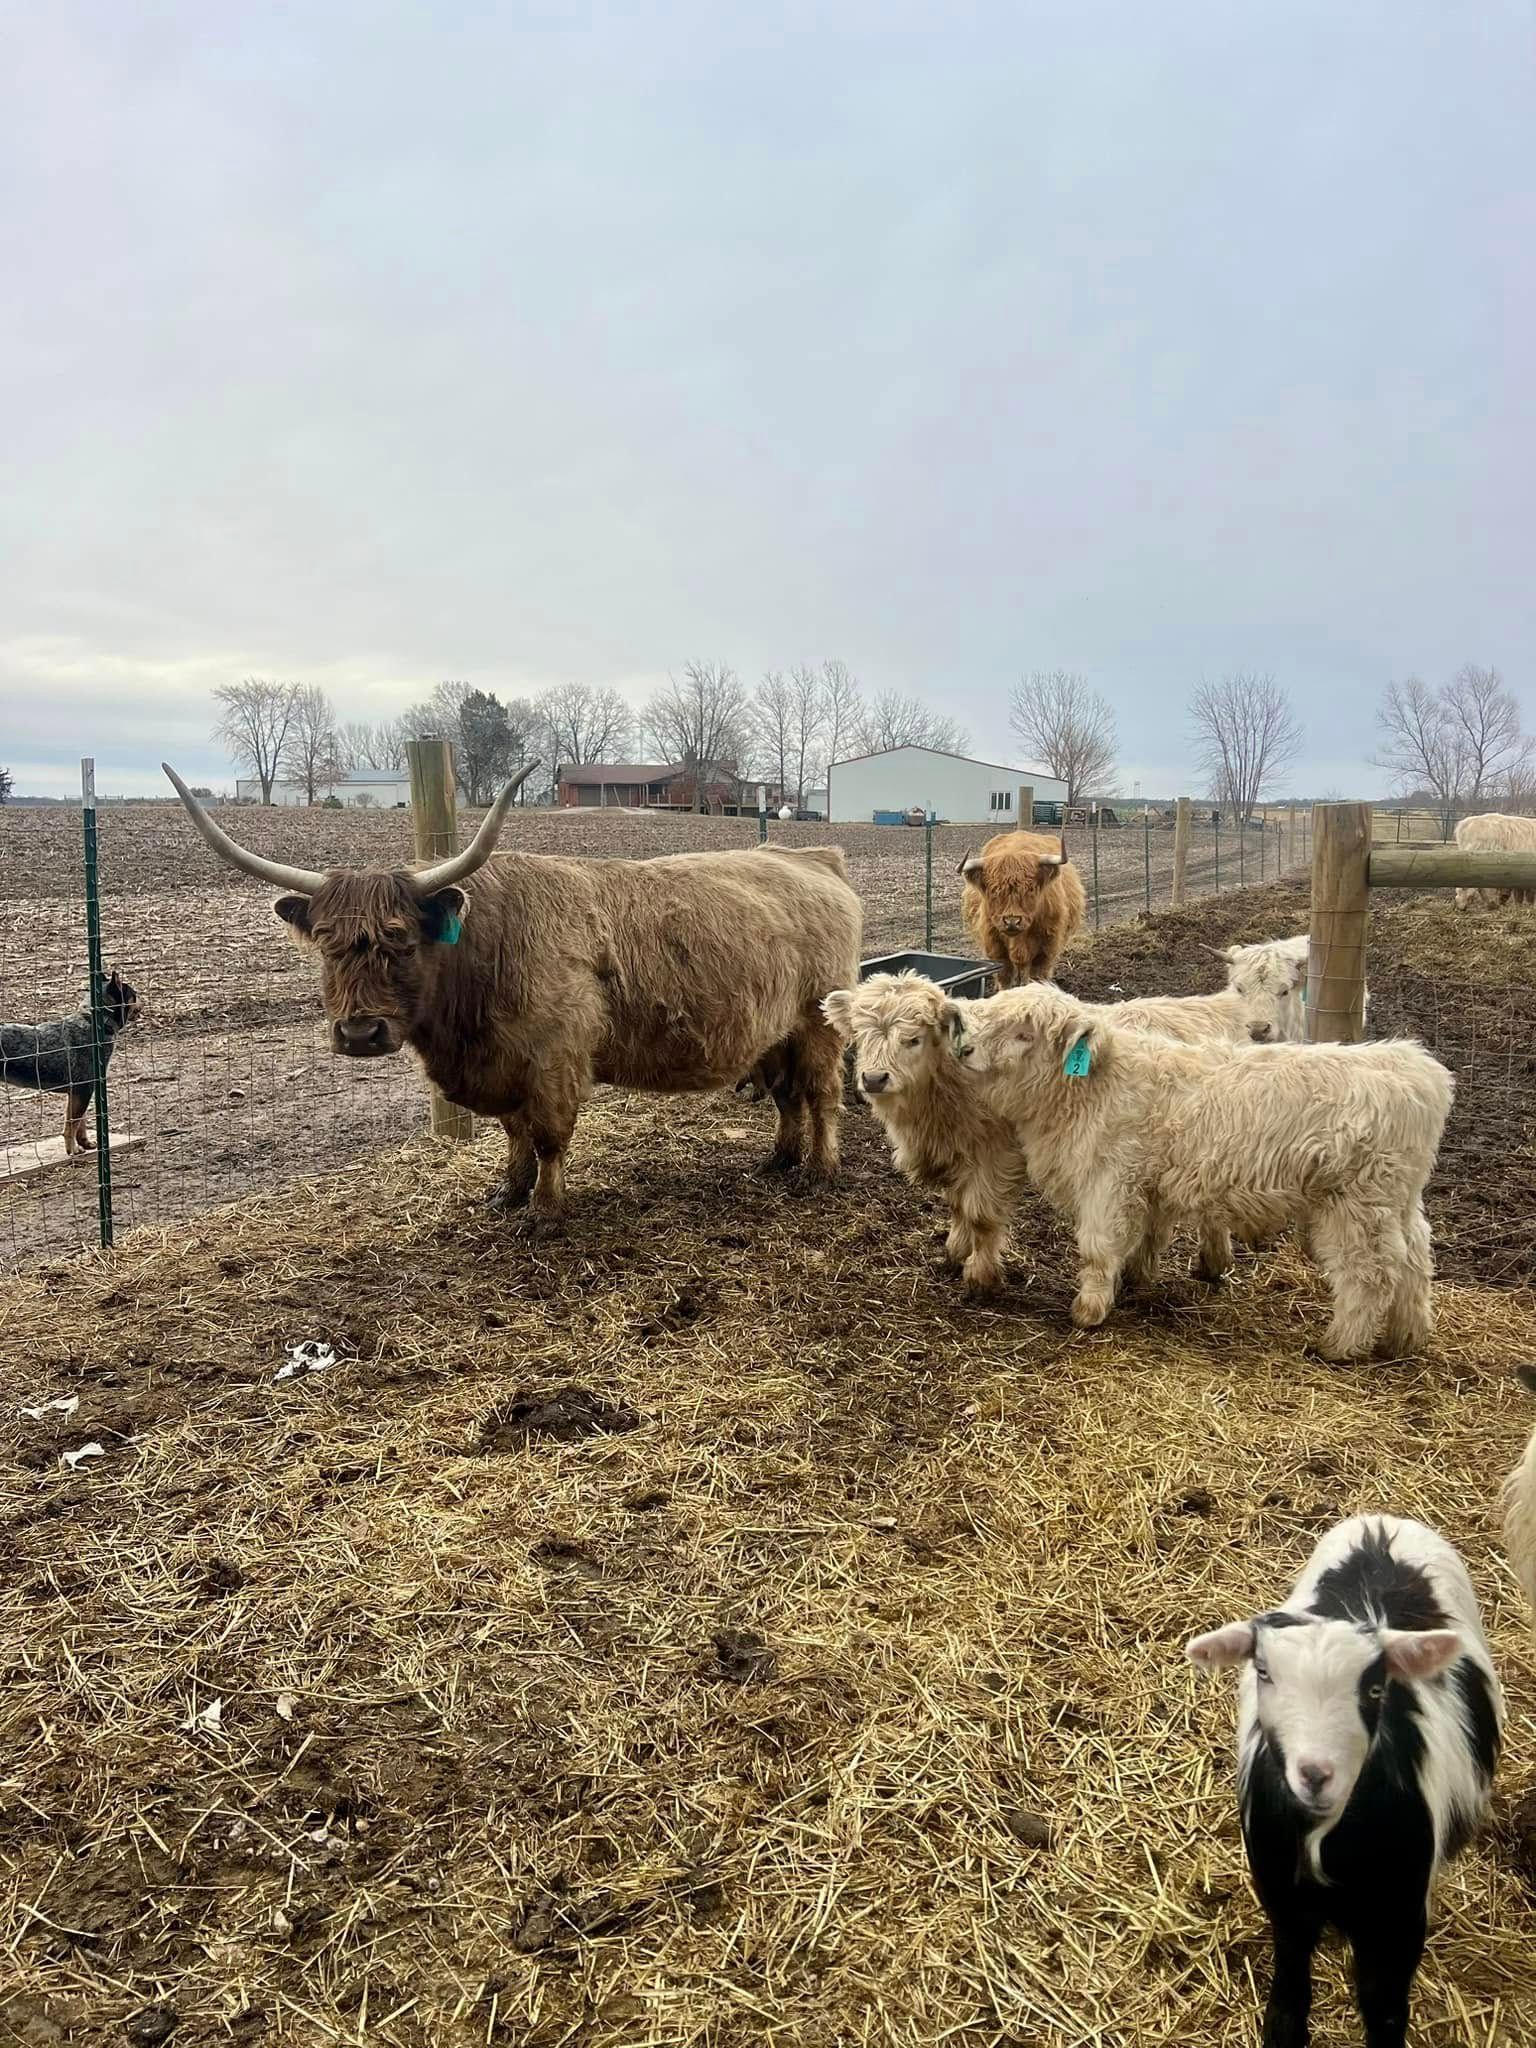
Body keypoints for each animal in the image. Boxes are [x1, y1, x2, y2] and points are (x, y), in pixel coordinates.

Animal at [163, 767, 862, 1231]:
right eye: (328, 945)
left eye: (402, 941)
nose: (360, 1034)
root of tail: (811, 857)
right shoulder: (500, 1067)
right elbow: (514, 1133)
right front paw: (509, 1192)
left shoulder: (555, 1059)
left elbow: (549, 1134)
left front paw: (546, 1211)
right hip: (774, 1032)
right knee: (787, 1095)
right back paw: (777, 1161)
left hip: (819, 1023)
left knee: (823, 1094)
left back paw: (820, 1171)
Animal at [957, 830, 1086, 987]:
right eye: (994, 890)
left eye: (1030, 889)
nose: (1012, 921)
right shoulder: (995, 946)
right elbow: (1004, 976)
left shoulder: (1046, 949)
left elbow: (1036, 976)